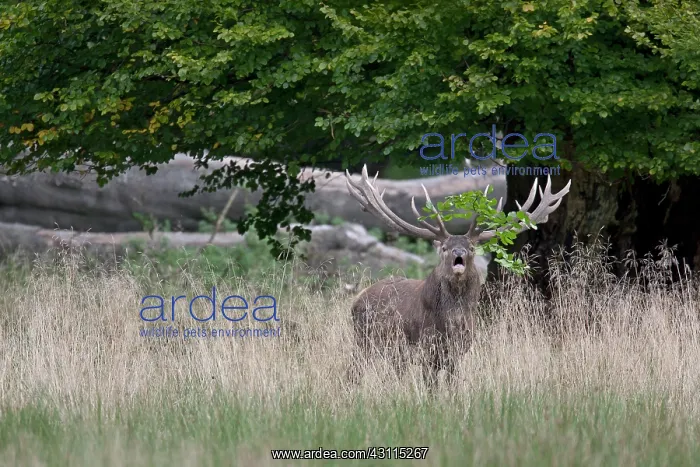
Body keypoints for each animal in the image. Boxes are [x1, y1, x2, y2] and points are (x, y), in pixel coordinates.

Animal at [345, 165, 571, 386]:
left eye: (471, 247)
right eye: (445, 247)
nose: (458, 252)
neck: (453, 321)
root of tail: (357, 299)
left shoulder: (459, 350)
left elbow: (452, 384)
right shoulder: (426, 347)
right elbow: (431, 386)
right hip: (364, 341)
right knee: (354, 371)